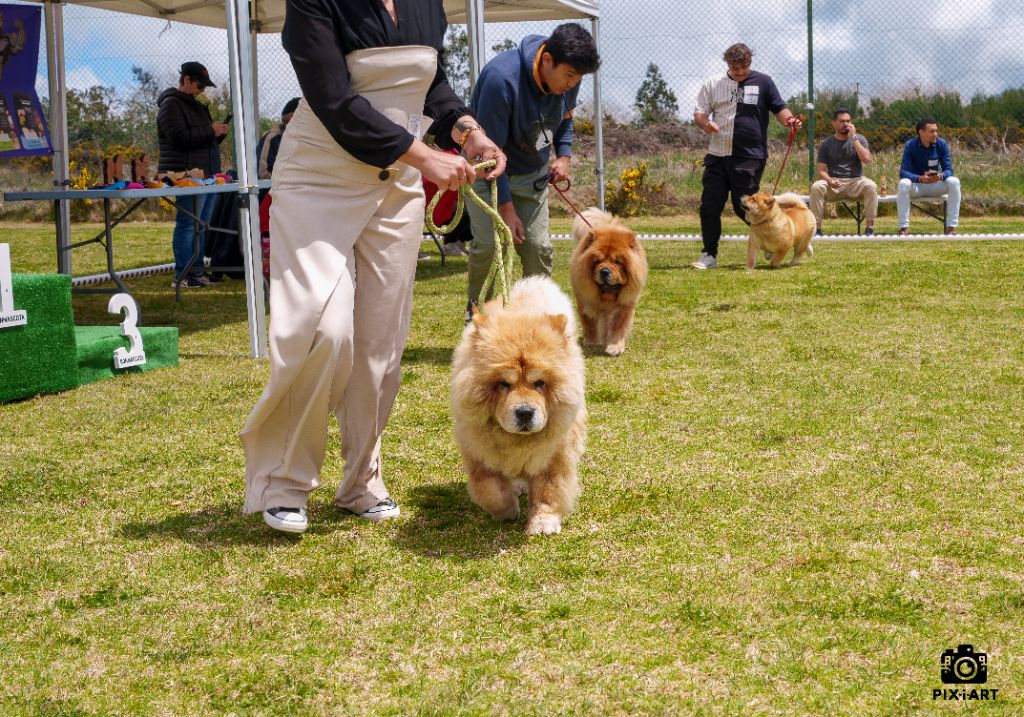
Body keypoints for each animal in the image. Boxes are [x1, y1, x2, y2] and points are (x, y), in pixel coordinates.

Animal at [569, 206, 647, 356]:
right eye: (597, 261)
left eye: (618, 262)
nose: (604, 271)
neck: (607, 296)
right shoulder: (585, 301)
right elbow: (589, 323)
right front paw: (592, 342)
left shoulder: (624, 305)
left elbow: (617, 327)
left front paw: (614, 347)